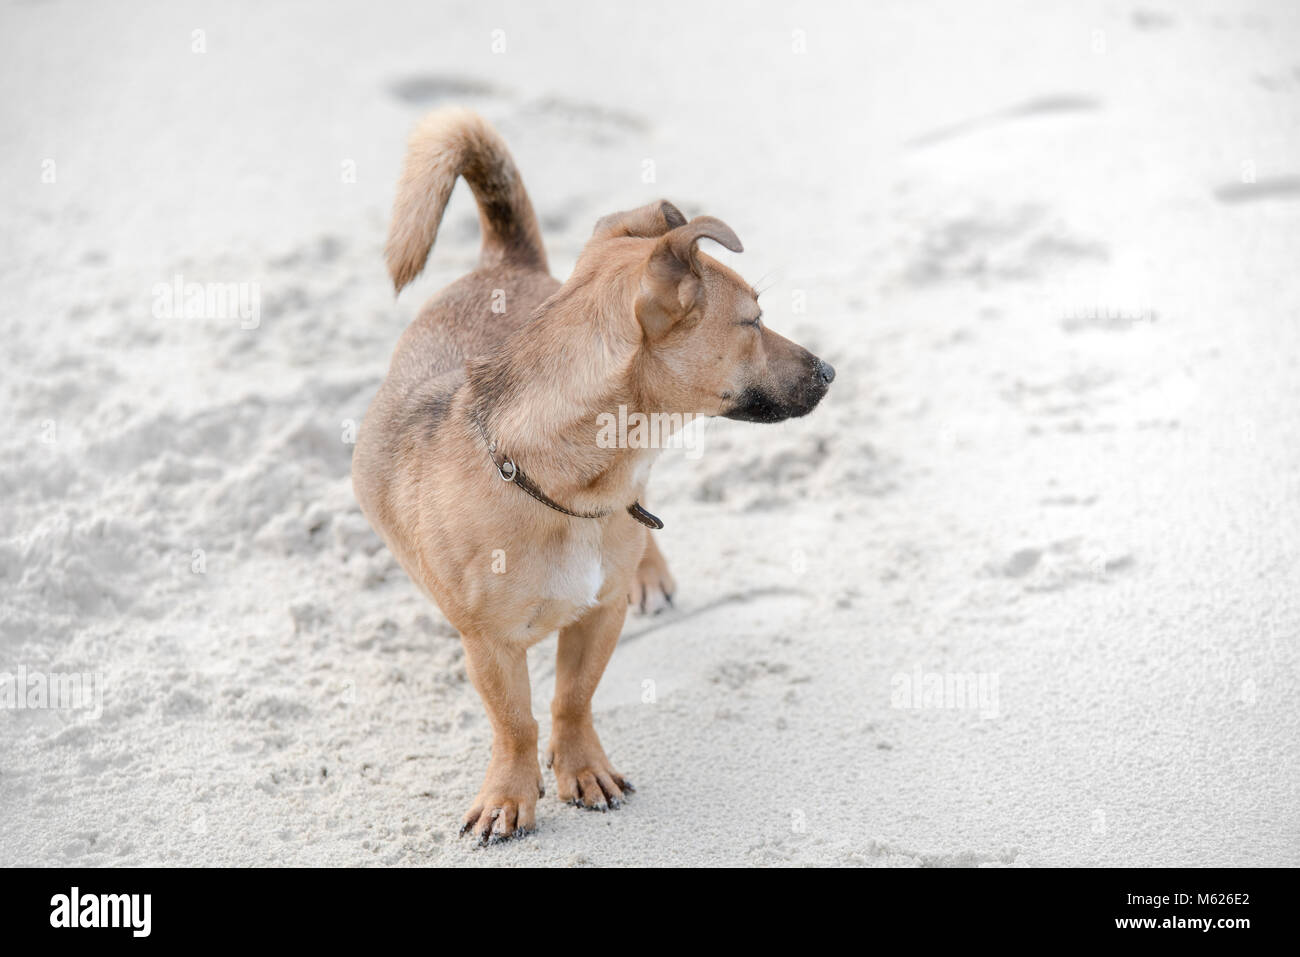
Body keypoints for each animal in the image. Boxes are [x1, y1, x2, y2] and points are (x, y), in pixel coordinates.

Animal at [353, 108, 832, 842]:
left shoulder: (600, 613)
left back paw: (650, 569)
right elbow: (515, 721)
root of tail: (504, 261)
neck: (563, 488)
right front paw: (510, 793)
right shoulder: (489, 645)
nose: (830, 372)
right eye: (752, 322)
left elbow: (571, 699)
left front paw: (580, 767)